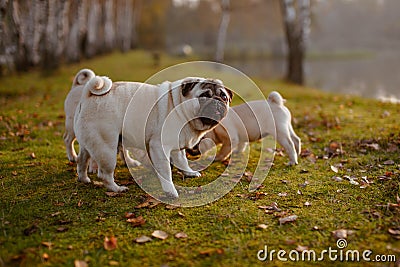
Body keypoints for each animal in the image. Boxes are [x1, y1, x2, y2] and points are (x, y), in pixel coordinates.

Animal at [73, 75, 233, 197]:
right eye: (204, 96)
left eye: (223, 97)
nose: (218, 102)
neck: (178, 105)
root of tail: (88, 96)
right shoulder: (159, 147)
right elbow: (166, 171)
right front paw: (170, 191)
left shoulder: (176, 145)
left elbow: (182, 161)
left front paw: (189, 172)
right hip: (106, 149)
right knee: (104, 175)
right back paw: (116, 188)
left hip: (89, 143)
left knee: (82, 161)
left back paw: (84, 179)